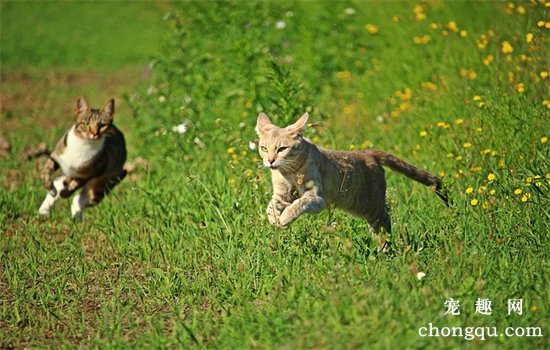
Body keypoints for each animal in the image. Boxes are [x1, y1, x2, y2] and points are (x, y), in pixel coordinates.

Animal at [256, 112, 450, 246]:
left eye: (282, 149)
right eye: (264, 148)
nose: (270, 161)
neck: (288, 172)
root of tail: (368, 153)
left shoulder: (316, 198)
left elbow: (297, 205)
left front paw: (284, 219)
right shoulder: (281, 195)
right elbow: (270, 206)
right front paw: (274, 220)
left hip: (371, 206)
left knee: (385, 221)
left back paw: (385, 249)